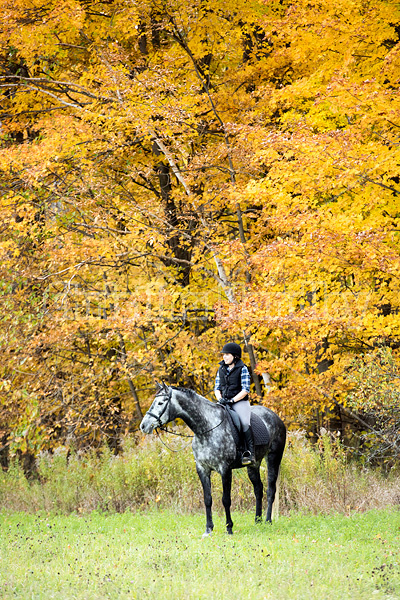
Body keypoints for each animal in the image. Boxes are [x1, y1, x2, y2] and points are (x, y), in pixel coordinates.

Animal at [139, 384, 286, 540]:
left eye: (161, 403)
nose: (143, 425)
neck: (206, 428)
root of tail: (275, 416)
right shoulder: (202, 469)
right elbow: (207, 499)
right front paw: (208, 529)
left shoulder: (225, 469)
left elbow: (226, 499)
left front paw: (229, 528)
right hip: (253, 465)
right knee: (258, 489)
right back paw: (257, 521)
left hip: (273, 458)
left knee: (270, 490)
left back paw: (268, 521)